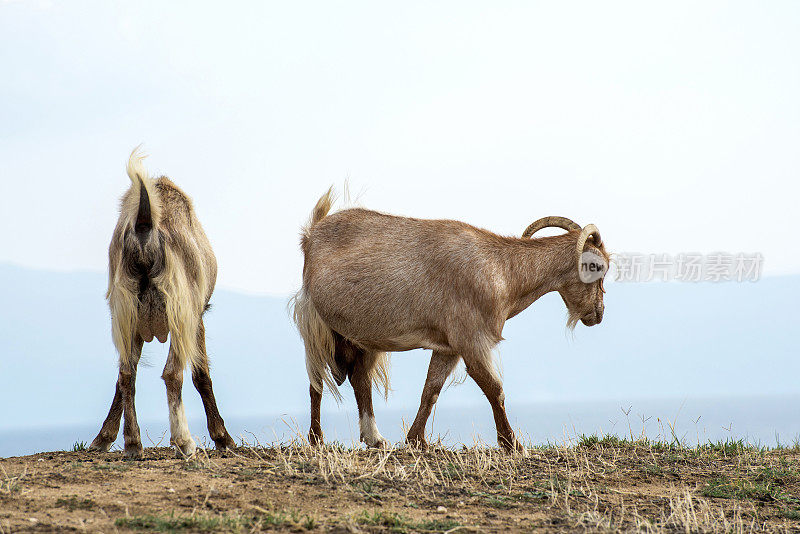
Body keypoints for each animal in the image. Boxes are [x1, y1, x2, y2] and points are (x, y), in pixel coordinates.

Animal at [90, 149, 236, 458]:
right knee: (172, 373)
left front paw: (103, 438)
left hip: (127, 309)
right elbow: (201, 374)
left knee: (126, 374)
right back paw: (184, 441)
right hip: (180, 310)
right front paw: (223, 438)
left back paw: (133, 444)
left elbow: (123, 377)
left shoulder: (133, 323)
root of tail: (145, 231)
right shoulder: (195, 314)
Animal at [290, 191, 608, 454]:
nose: (598, 313)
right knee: (316, 383)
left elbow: (431, 391)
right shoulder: (472, 340)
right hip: (316, 325)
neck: (504, 272)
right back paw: (316, 439)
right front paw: (512, 444)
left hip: (361, 337)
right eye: (597, 267)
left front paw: (417, 440)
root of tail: (311, 234)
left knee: (359, 379)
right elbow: (495, 389)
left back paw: (375, 439)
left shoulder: (448, 347)